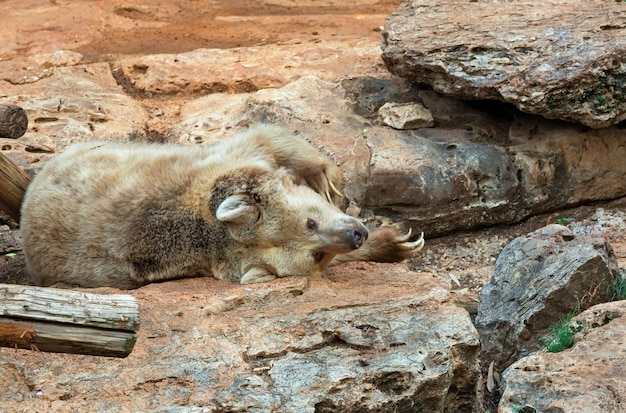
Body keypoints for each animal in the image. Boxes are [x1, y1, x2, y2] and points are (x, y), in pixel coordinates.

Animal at [19, 124, 422, 288]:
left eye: (310, 220)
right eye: (316, 254)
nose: (356, 234)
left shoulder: (216, 169)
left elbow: (268, 139)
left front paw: (324, 177)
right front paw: (397, 242)